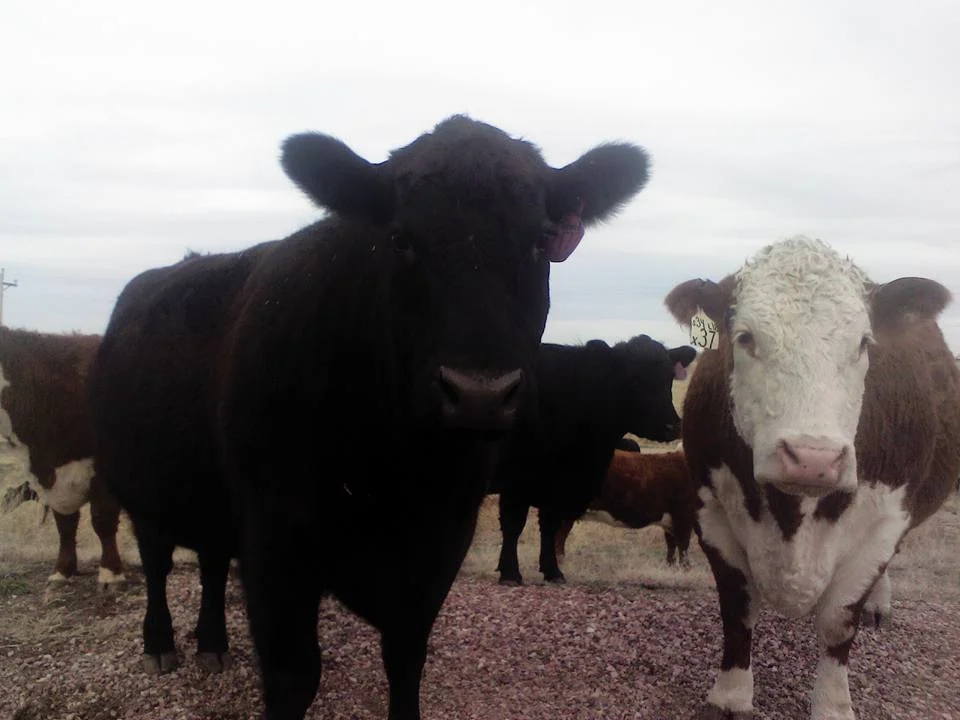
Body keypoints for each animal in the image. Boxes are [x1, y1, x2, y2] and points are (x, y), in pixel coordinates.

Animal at [88, 114, 652, 720]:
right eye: (401, 239)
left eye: (541, 241)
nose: (479, 393)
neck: (394, 467)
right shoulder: (275, 542)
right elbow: (292, 676)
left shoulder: (439, 543)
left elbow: (405, 660)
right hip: (140, 487)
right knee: (158, 563)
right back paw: (161, 644)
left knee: (212, 562)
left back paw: (212, 644)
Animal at [553, 448, 697, 568]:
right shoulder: (683, 516)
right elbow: (683, 545)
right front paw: (686, 569)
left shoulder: (672, 520)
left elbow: (672, 544)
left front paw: (671, 567)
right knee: (559, 538)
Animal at [664, 234, 960, 720]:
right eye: (745, 337)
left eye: (863, 343)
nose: (812, 458)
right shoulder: (710, 509)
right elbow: (737, 609)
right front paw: (730, 696)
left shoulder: (887, 521)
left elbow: (839, 619)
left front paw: (833, 705)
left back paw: (879, 604)